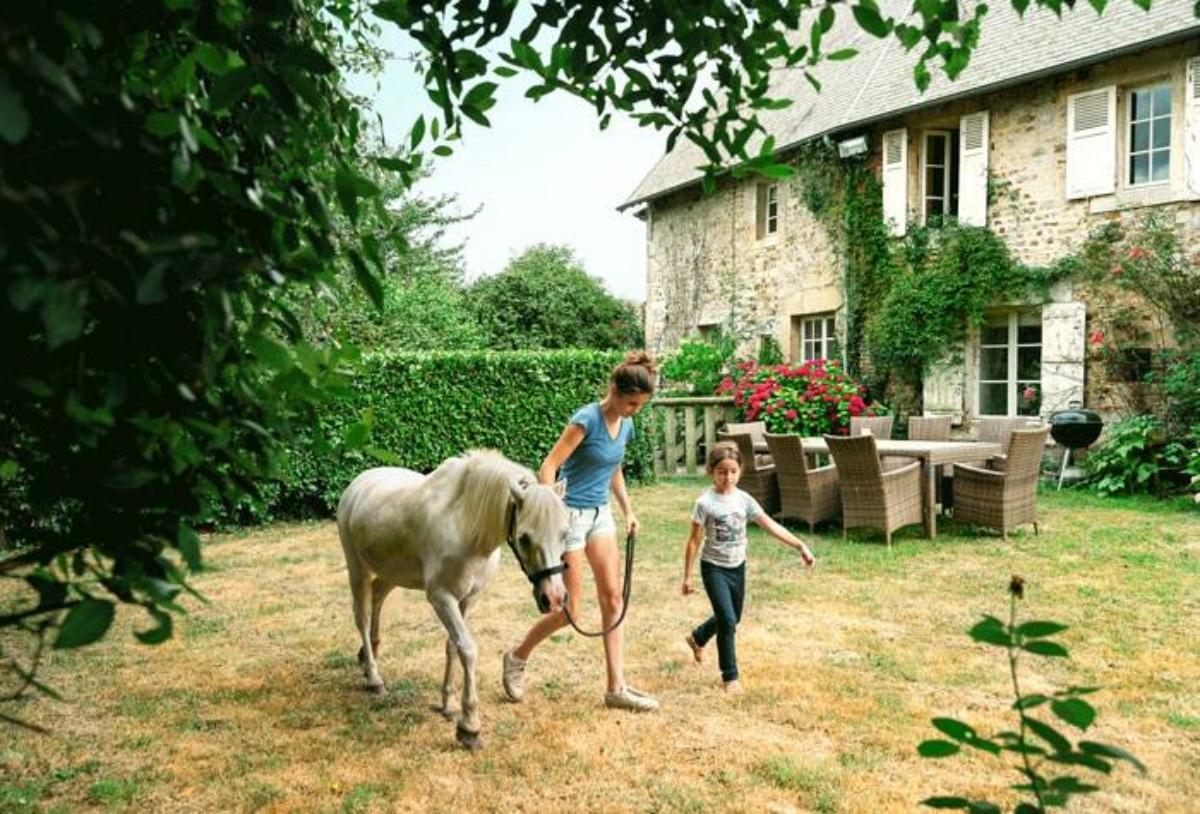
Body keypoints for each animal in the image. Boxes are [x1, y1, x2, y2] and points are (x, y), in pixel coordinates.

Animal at [333, 453, 566, 753]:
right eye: (524, 538)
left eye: (564, 533)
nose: (554, 598)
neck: (465, 523)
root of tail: (357, 484)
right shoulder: (441, 597)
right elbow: (467, 648)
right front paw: (469, 727)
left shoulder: (467, 599)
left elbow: (452, 646)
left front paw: (448, 704)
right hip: (357, 568)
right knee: (361, 616)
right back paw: (374, 678)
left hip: (390, 573)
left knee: (377, 598)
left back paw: (367, 655)